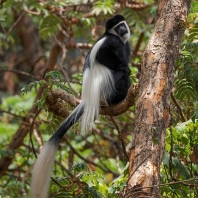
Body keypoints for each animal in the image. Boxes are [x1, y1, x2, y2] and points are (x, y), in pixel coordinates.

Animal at [30, 14, 130, 197]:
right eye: (117, 27)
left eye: (122, 24)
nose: (122, 29)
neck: (116, 37)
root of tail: (89, 98)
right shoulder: (112, 42)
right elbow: (105, 57)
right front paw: (125, 67)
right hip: (108, 89)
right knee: (122, 76)